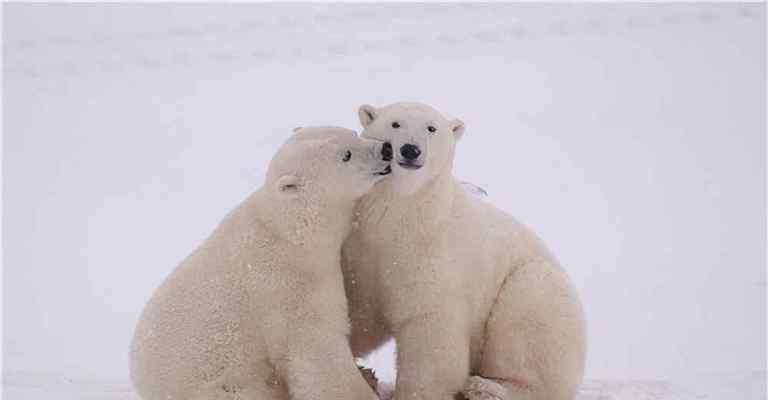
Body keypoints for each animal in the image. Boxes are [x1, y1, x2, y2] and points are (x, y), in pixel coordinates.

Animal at [130, 127, 390, 400]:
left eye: (353, 133)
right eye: (346, 155)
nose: (385, 149)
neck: (289, 231)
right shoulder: (287, 285)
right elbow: (315, 346)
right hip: (226, 386)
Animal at [342, 102, 588, 400]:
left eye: (431, 128)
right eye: (395, 123)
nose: (410, 150)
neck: (404, 210)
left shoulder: (432, 251)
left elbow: (429, 324)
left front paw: (415, 392)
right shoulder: (365, 249)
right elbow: (361, 308)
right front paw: (358, 364)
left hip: (537, 293)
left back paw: (486, 387)